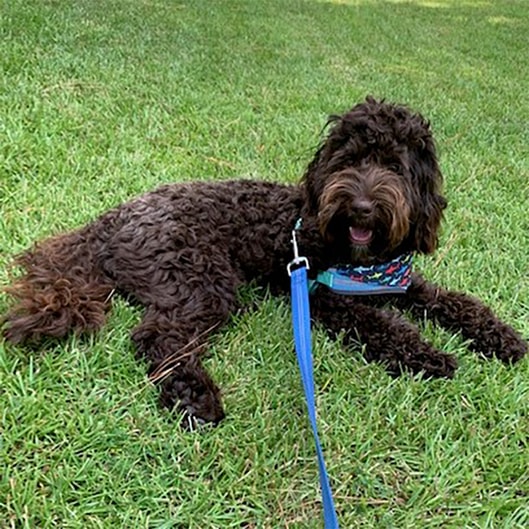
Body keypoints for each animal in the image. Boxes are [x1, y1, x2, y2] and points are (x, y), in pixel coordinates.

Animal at [2, 97, 524, 424]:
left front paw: (502, 339)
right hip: (200, 277)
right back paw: (194, 397)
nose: (360, 207)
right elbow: (382, 325)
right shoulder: (322, 295)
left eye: (394, 166)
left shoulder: (399, 281)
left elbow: (455, 301)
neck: (360, 256)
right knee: (158, 337)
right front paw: (429, 355)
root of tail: (110, 220)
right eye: (349, 160)